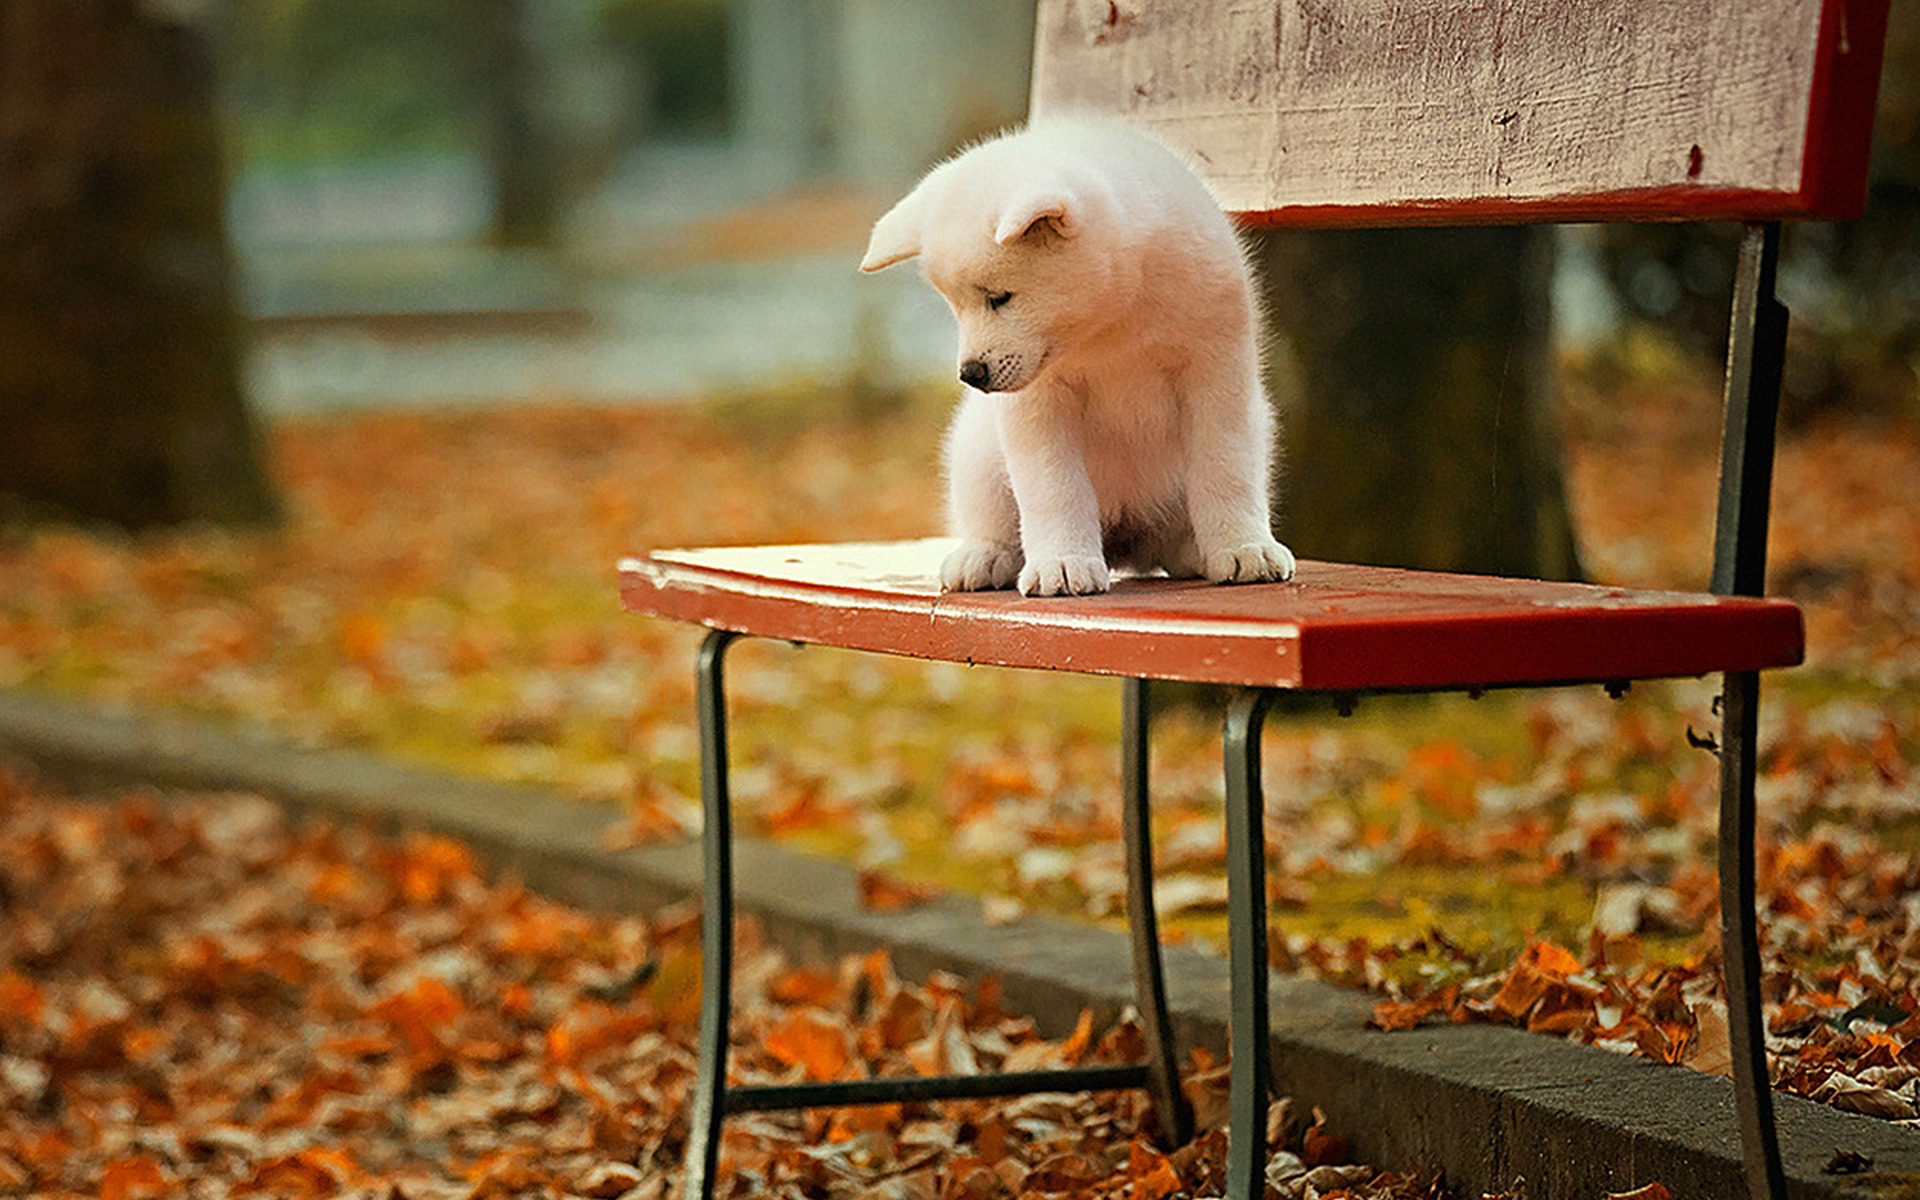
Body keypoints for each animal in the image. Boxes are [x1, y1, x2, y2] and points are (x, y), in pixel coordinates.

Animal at [867, 117, 1290, 595]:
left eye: (1000, 298)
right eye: (955, 307)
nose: (971, 374)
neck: (1113, 326)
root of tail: (1124, 542)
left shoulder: (1216, 375)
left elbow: (1227, 469)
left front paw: (1243, 547)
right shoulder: (1040, 406)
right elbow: (1055, 488)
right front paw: (1064, 562)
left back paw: (1193, 549)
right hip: (977, 452)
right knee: (992, 519)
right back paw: (986, 553)